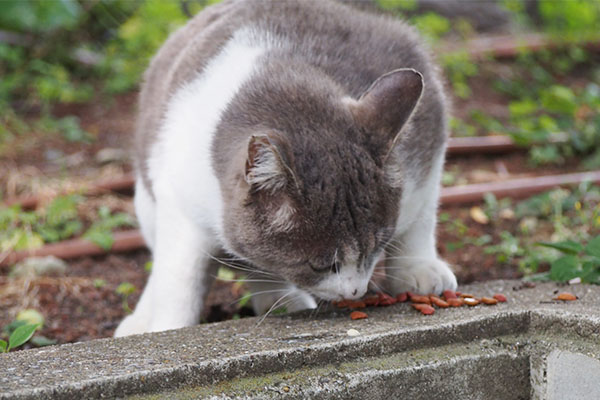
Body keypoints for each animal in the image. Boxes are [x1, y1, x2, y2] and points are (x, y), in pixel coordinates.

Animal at [115, 0, 458, 336]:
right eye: (319, 265)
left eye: (375, 249)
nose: (356, 292)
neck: (282, 79)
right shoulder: (180, 200)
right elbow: (179, 278)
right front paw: (165, 327)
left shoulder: (427, 150)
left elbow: (420, 219)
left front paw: (419, 268)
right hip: (146, 199)